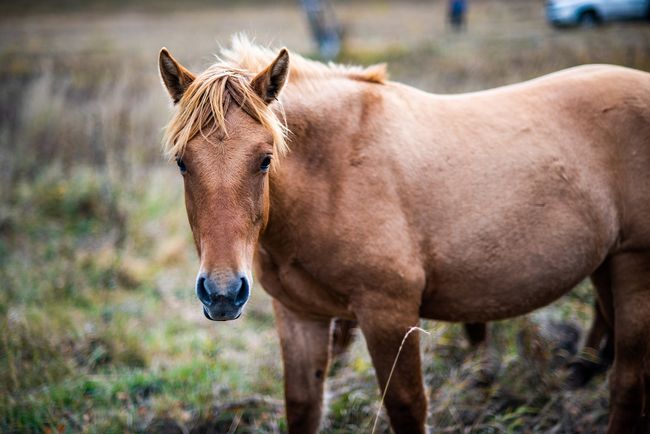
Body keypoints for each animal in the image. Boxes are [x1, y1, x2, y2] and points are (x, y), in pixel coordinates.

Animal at [158, 38, 648, 434]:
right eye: (182, 162)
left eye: (264, 159)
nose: (222, 293)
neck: (335, 171)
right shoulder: (299, 316)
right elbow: (303, 408)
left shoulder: (389, 315)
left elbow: (407, 407)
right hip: (606, 267)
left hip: (634, 268)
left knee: (627, 381)